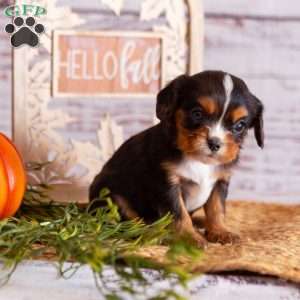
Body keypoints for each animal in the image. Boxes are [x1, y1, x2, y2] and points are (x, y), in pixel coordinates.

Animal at [88, 69, 262, 246]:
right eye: (197, 114)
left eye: (239, 126)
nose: (214, 143)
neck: (197, 160)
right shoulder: (167, 184)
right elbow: (179, 213)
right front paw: (189, 237)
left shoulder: (220, 182)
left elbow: (217, 209)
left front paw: (221, 231)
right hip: (112, 196)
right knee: (130, 223)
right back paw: (152, 232)